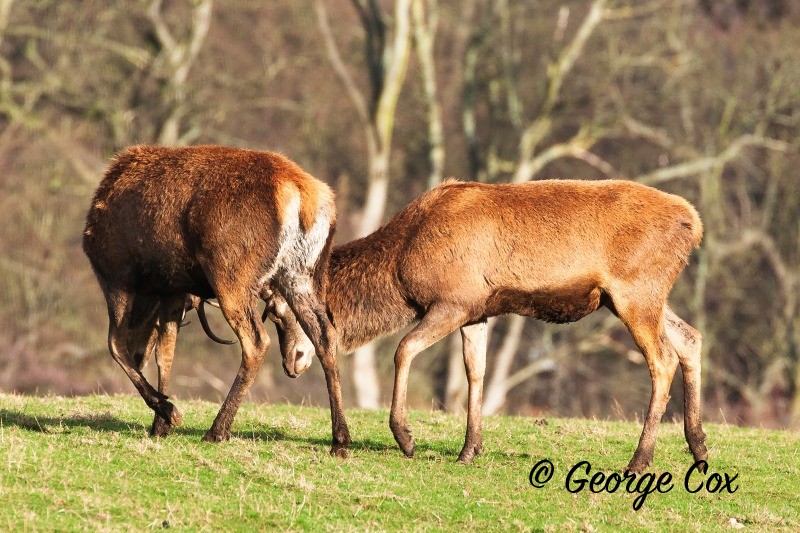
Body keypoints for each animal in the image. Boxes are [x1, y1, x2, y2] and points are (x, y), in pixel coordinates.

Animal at [82, 144, 351, 456]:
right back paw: (340, 440)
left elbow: (116, 345)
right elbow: (165, 353)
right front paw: (160, 424)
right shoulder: (173, 289)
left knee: (256, 342)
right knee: (325, 334)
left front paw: (169, 412)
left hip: (231, 270)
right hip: (300, 272)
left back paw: (217, 430)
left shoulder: (116, 272)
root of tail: (302, 194)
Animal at [260, 178, 708, 473]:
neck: (401, 266)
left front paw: (406, 437)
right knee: (690, 338)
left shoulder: (453, 300)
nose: (290, 363)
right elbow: (475, 372)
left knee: (663, 359)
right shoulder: (478, 311)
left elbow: (404, 349)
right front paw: (468, 450)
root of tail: (694, 224)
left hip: (636, 292)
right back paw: (699, 447)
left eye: (280, 310)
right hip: (642, 297)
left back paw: (639, 460)